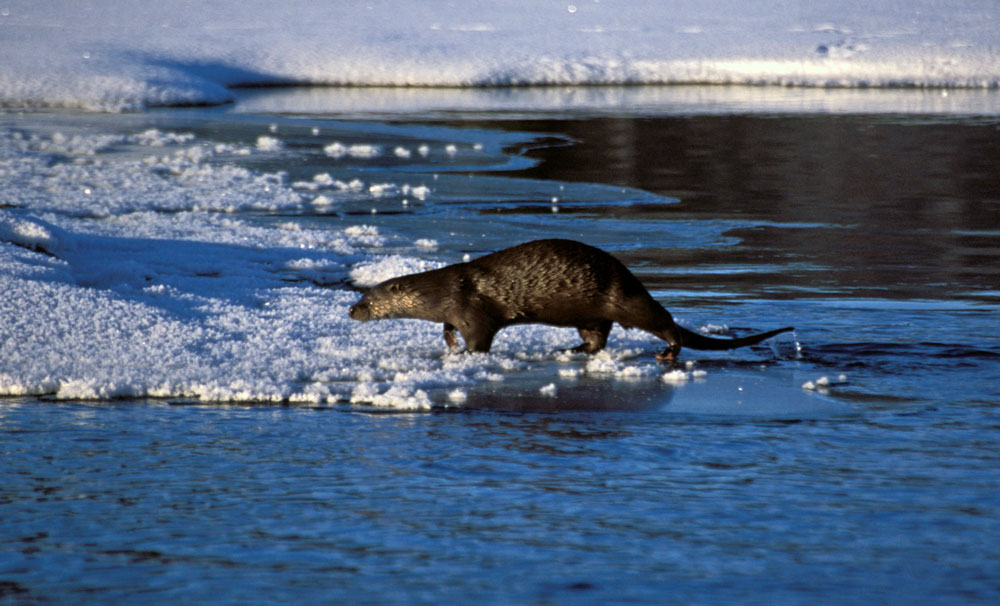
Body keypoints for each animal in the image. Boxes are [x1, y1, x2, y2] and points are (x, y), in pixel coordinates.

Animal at [348, 239, 792, 360]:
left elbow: (480, 336)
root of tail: (630, 277)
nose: (350, 310)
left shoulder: (473, 308)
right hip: (591, 312)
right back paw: (571, 349)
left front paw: (466, 356)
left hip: (624, 298)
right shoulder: (453, 309)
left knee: (662, 321)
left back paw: (668, 351)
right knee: (597, 338)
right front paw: (449, 342)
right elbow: (447, 326)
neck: (444, 289)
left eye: (367, 297)